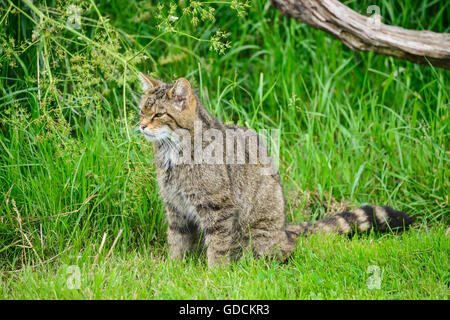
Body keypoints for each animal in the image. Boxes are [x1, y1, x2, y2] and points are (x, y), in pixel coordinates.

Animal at [138, 73, 414, 268]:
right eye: (142, 111)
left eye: (159, 114)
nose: (140, 125)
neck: (172, 153)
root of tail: (284, 231)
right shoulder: (175, 207)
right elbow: (177, 241)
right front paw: (173, 269)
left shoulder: (218, 207)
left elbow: (217, 246)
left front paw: (214, 274)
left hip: (254, 239)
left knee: (280, 253)